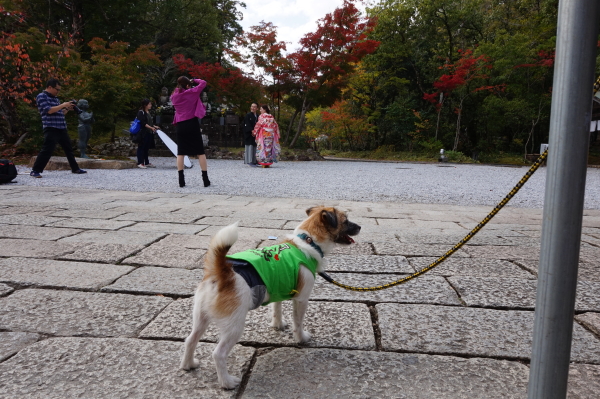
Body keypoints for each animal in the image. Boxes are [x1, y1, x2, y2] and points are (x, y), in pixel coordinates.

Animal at [179, 208, 360, 390]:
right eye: (346, 220)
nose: (359, 227)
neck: (308, 241)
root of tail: (221, 272)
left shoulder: (277, 288)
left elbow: (276, 309)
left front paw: (278, 325)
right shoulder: (301, 299)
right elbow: (298, 322)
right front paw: (301, 338)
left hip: (201, 316)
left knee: (190, 340)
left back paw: (189, 365)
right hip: (234, 325)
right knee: (218, 354)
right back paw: (227, 382)